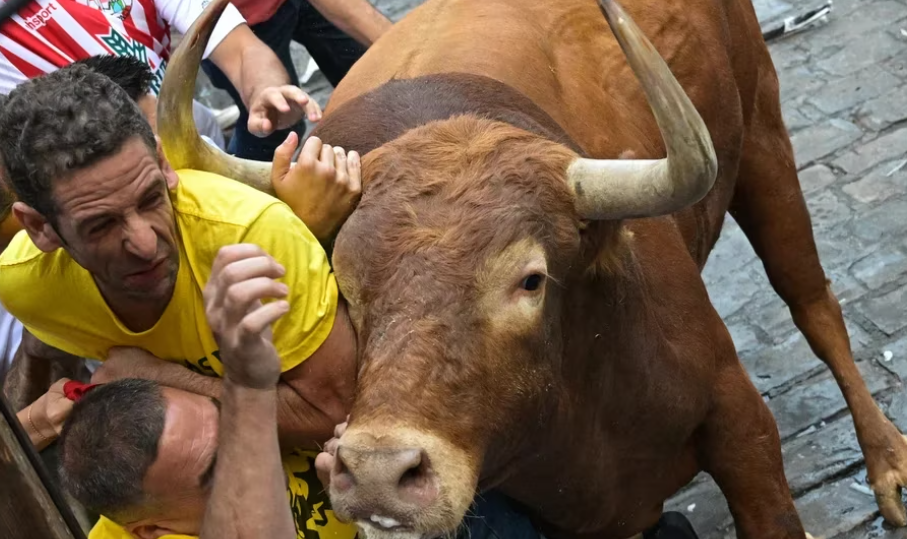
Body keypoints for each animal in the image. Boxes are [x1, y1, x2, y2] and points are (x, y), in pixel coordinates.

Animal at [160, 0, 907, 536]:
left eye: (529, 279)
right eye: (347, 287)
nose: (377, 473)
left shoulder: (742, 427)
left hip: (763, 135)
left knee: (811, 301)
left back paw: (888, 464)